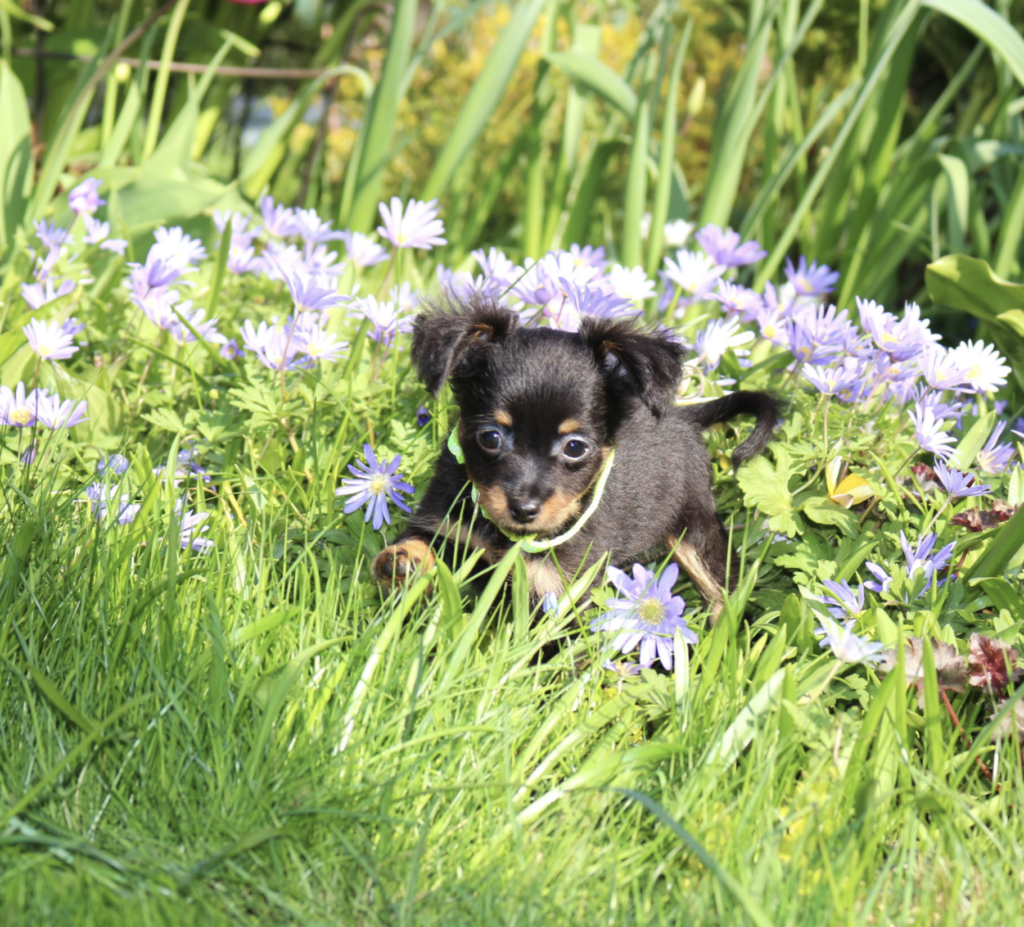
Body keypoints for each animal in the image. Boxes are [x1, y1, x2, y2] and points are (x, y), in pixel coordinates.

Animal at [370, 295, 774, 614]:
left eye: (575, 447)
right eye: (491, 437)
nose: (524, 509)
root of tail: (686, 416)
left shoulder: (560, 591)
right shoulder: (448, 529)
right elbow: (419, 543)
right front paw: (403, 560)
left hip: (694, 530)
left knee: (722, 592)